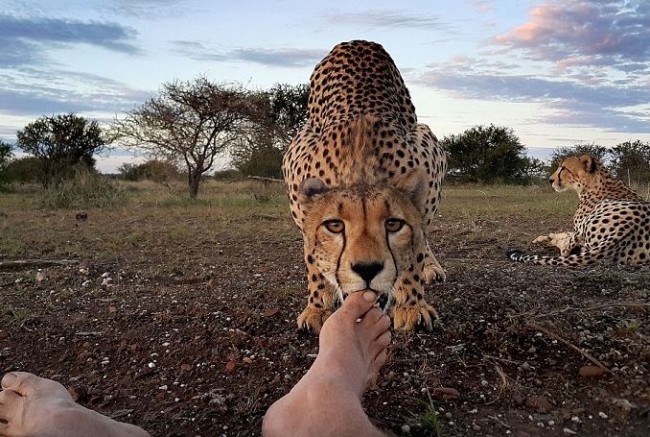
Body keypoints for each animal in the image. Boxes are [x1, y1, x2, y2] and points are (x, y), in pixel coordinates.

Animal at [282, 41, 446, 334]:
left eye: (392, 224)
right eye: (335, 226)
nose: (367, 269)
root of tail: (358, 41)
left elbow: (415, 247)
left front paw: (412, 305)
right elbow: (313, 256)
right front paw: (319, 306)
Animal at [506, 153, 648, 266]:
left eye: (563, 168)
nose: (550, 180)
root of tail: (625, 230)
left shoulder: (579, 230)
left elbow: (566, 240)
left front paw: (548, 238)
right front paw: (544, 237)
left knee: (566, 249)